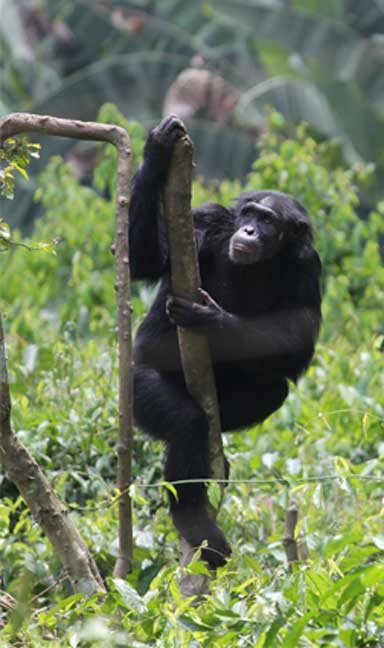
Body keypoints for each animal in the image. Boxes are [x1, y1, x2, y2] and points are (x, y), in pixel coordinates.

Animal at [129, 116, 320, 568]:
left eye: (268, 221)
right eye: (248, 213)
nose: (249, 229)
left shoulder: (309, 266)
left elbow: (299, 347)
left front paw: (212, 319)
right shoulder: (205, 221)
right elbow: (145, 261)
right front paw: (157, 150)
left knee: (271, 390)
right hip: (136, 385)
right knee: (185, 421)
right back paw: (192, 517)